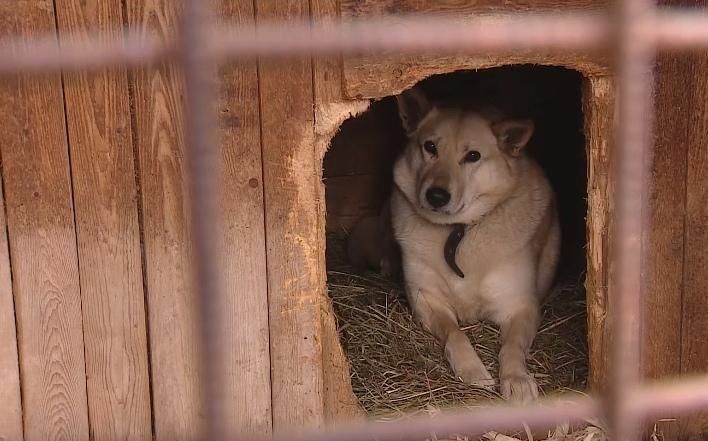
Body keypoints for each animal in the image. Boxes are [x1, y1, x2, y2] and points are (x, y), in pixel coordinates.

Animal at [388, 85, 560, 402]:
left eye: (473, 156)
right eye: (430, 147)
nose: (436, 196)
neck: (459, 231)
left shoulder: (521, 305)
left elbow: (512, 347)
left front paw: (517, 378)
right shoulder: (425, 298)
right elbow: (455, 333)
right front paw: (473, 369)